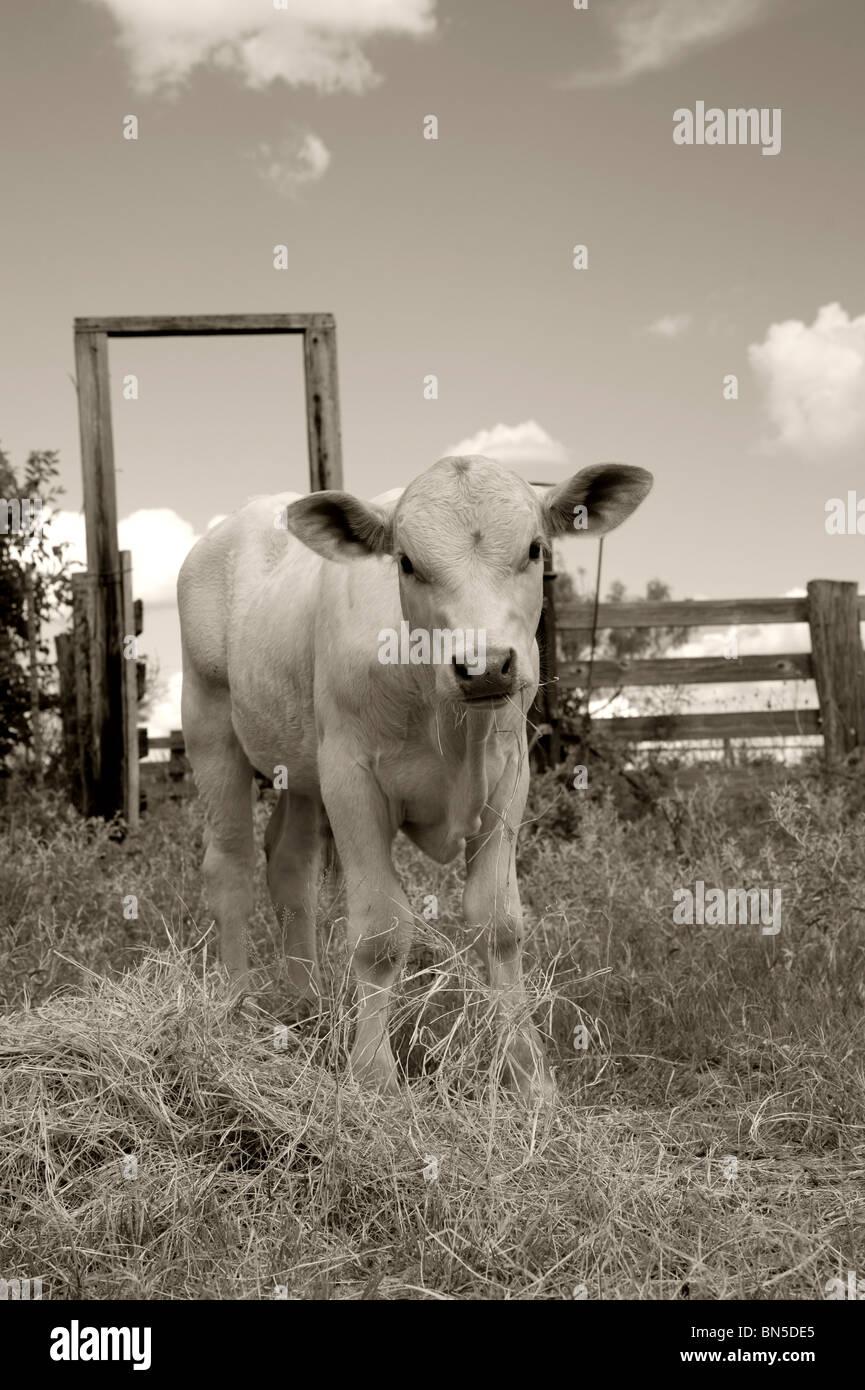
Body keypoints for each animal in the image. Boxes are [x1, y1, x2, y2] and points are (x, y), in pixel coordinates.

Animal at [178, 454, 652, 1102]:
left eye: (534, 549)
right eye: (406, 562)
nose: (485, 665)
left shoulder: (510, 775)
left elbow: (498, 923)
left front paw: (530, 1079)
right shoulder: (349, 775)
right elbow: (380, 932)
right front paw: (373, 1078)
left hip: (299, 764)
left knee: (291, 866)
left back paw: (308, 1007)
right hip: (210, 725)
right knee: (230, 868)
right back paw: (233, 1011)